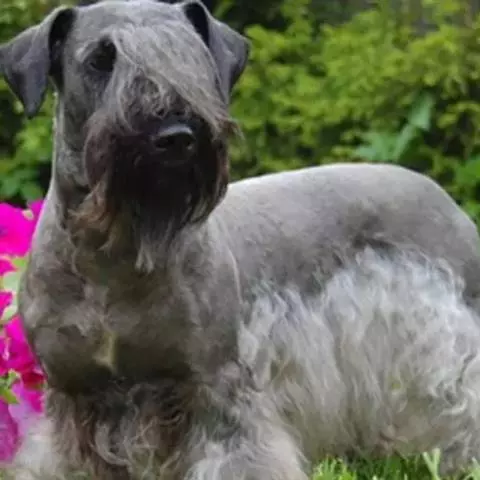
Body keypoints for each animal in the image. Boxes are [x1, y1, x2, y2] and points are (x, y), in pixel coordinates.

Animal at [2, 0, 480, 478]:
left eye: (191, 57)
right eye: (100, 60)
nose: (175, 136)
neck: (112, 257)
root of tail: (446, 201)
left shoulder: (217, 387)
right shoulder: (74, 398)